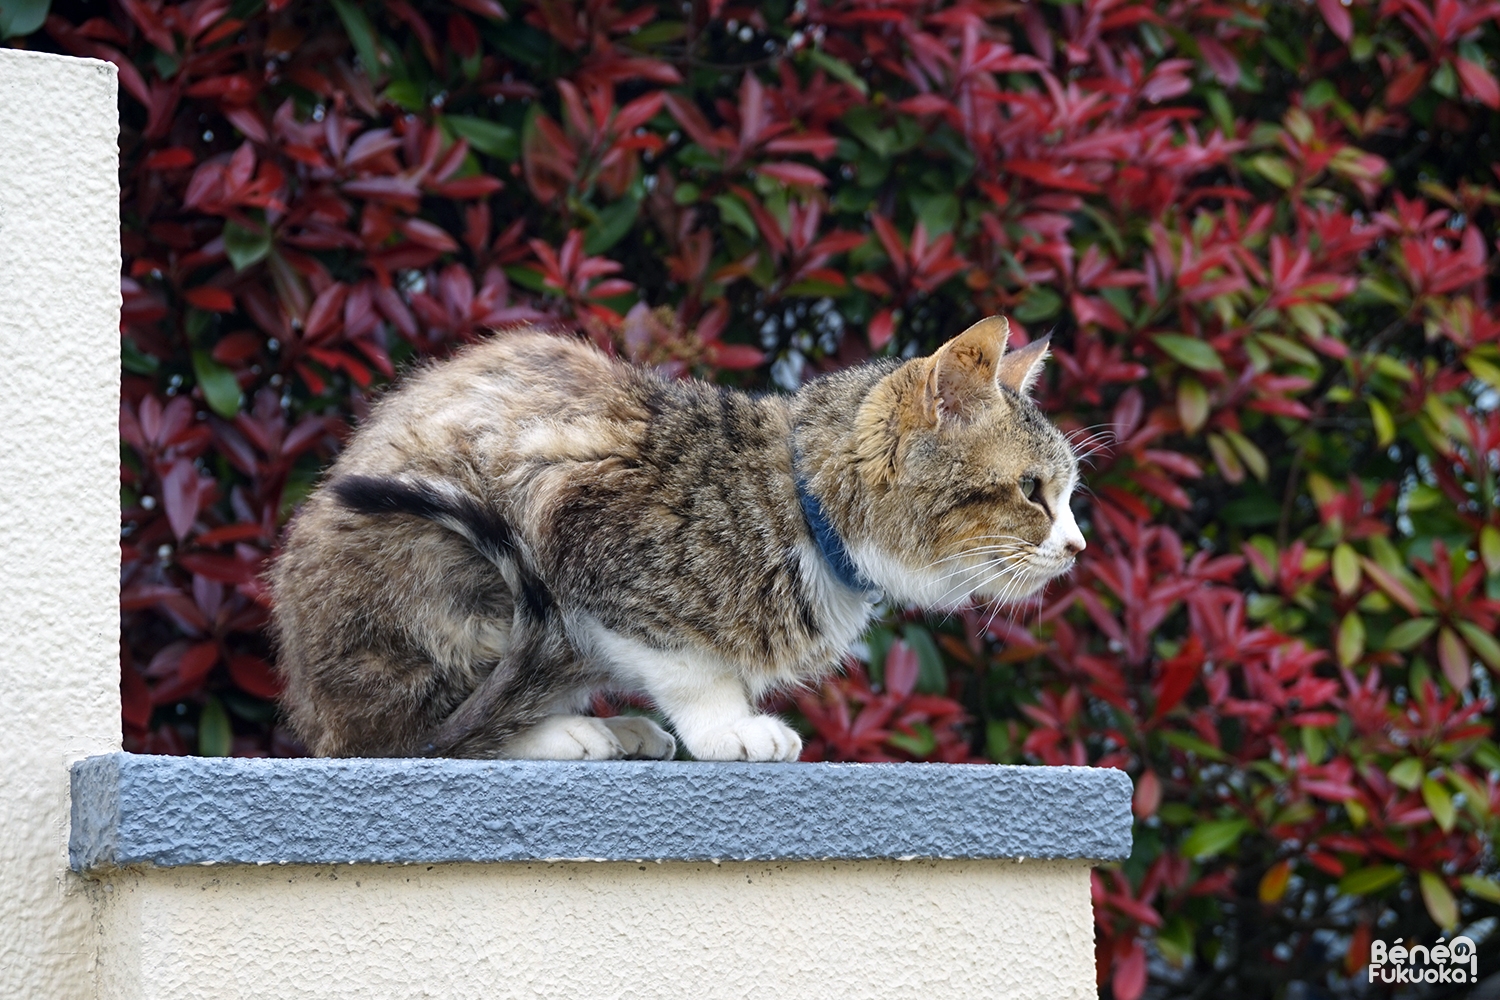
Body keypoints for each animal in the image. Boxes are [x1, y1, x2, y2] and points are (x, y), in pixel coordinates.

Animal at [270, 316, 1086, 761]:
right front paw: (729, 726)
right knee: (413, 737)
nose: (1077, 546)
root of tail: (313, 702)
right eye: (1031, 491)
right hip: (450, 583)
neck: (797, 503)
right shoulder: (587, 542)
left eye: (1068, 495)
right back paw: (556, 733)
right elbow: (686, 663)